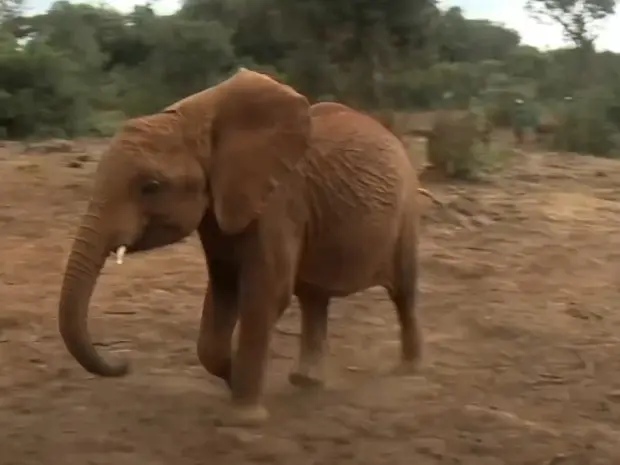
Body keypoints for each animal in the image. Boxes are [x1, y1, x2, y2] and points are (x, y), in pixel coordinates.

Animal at [58, 67, 424, 426]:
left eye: (151, 187)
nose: (124, 362)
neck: (198, 121)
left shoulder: (279, 203)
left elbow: (265, 292)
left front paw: (245, 417)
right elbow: (224, 287)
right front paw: (234, 378)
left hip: (406, 211)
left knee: (402, 291)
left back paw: (407, 370)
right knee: (313, 297)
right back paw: (306, 382)